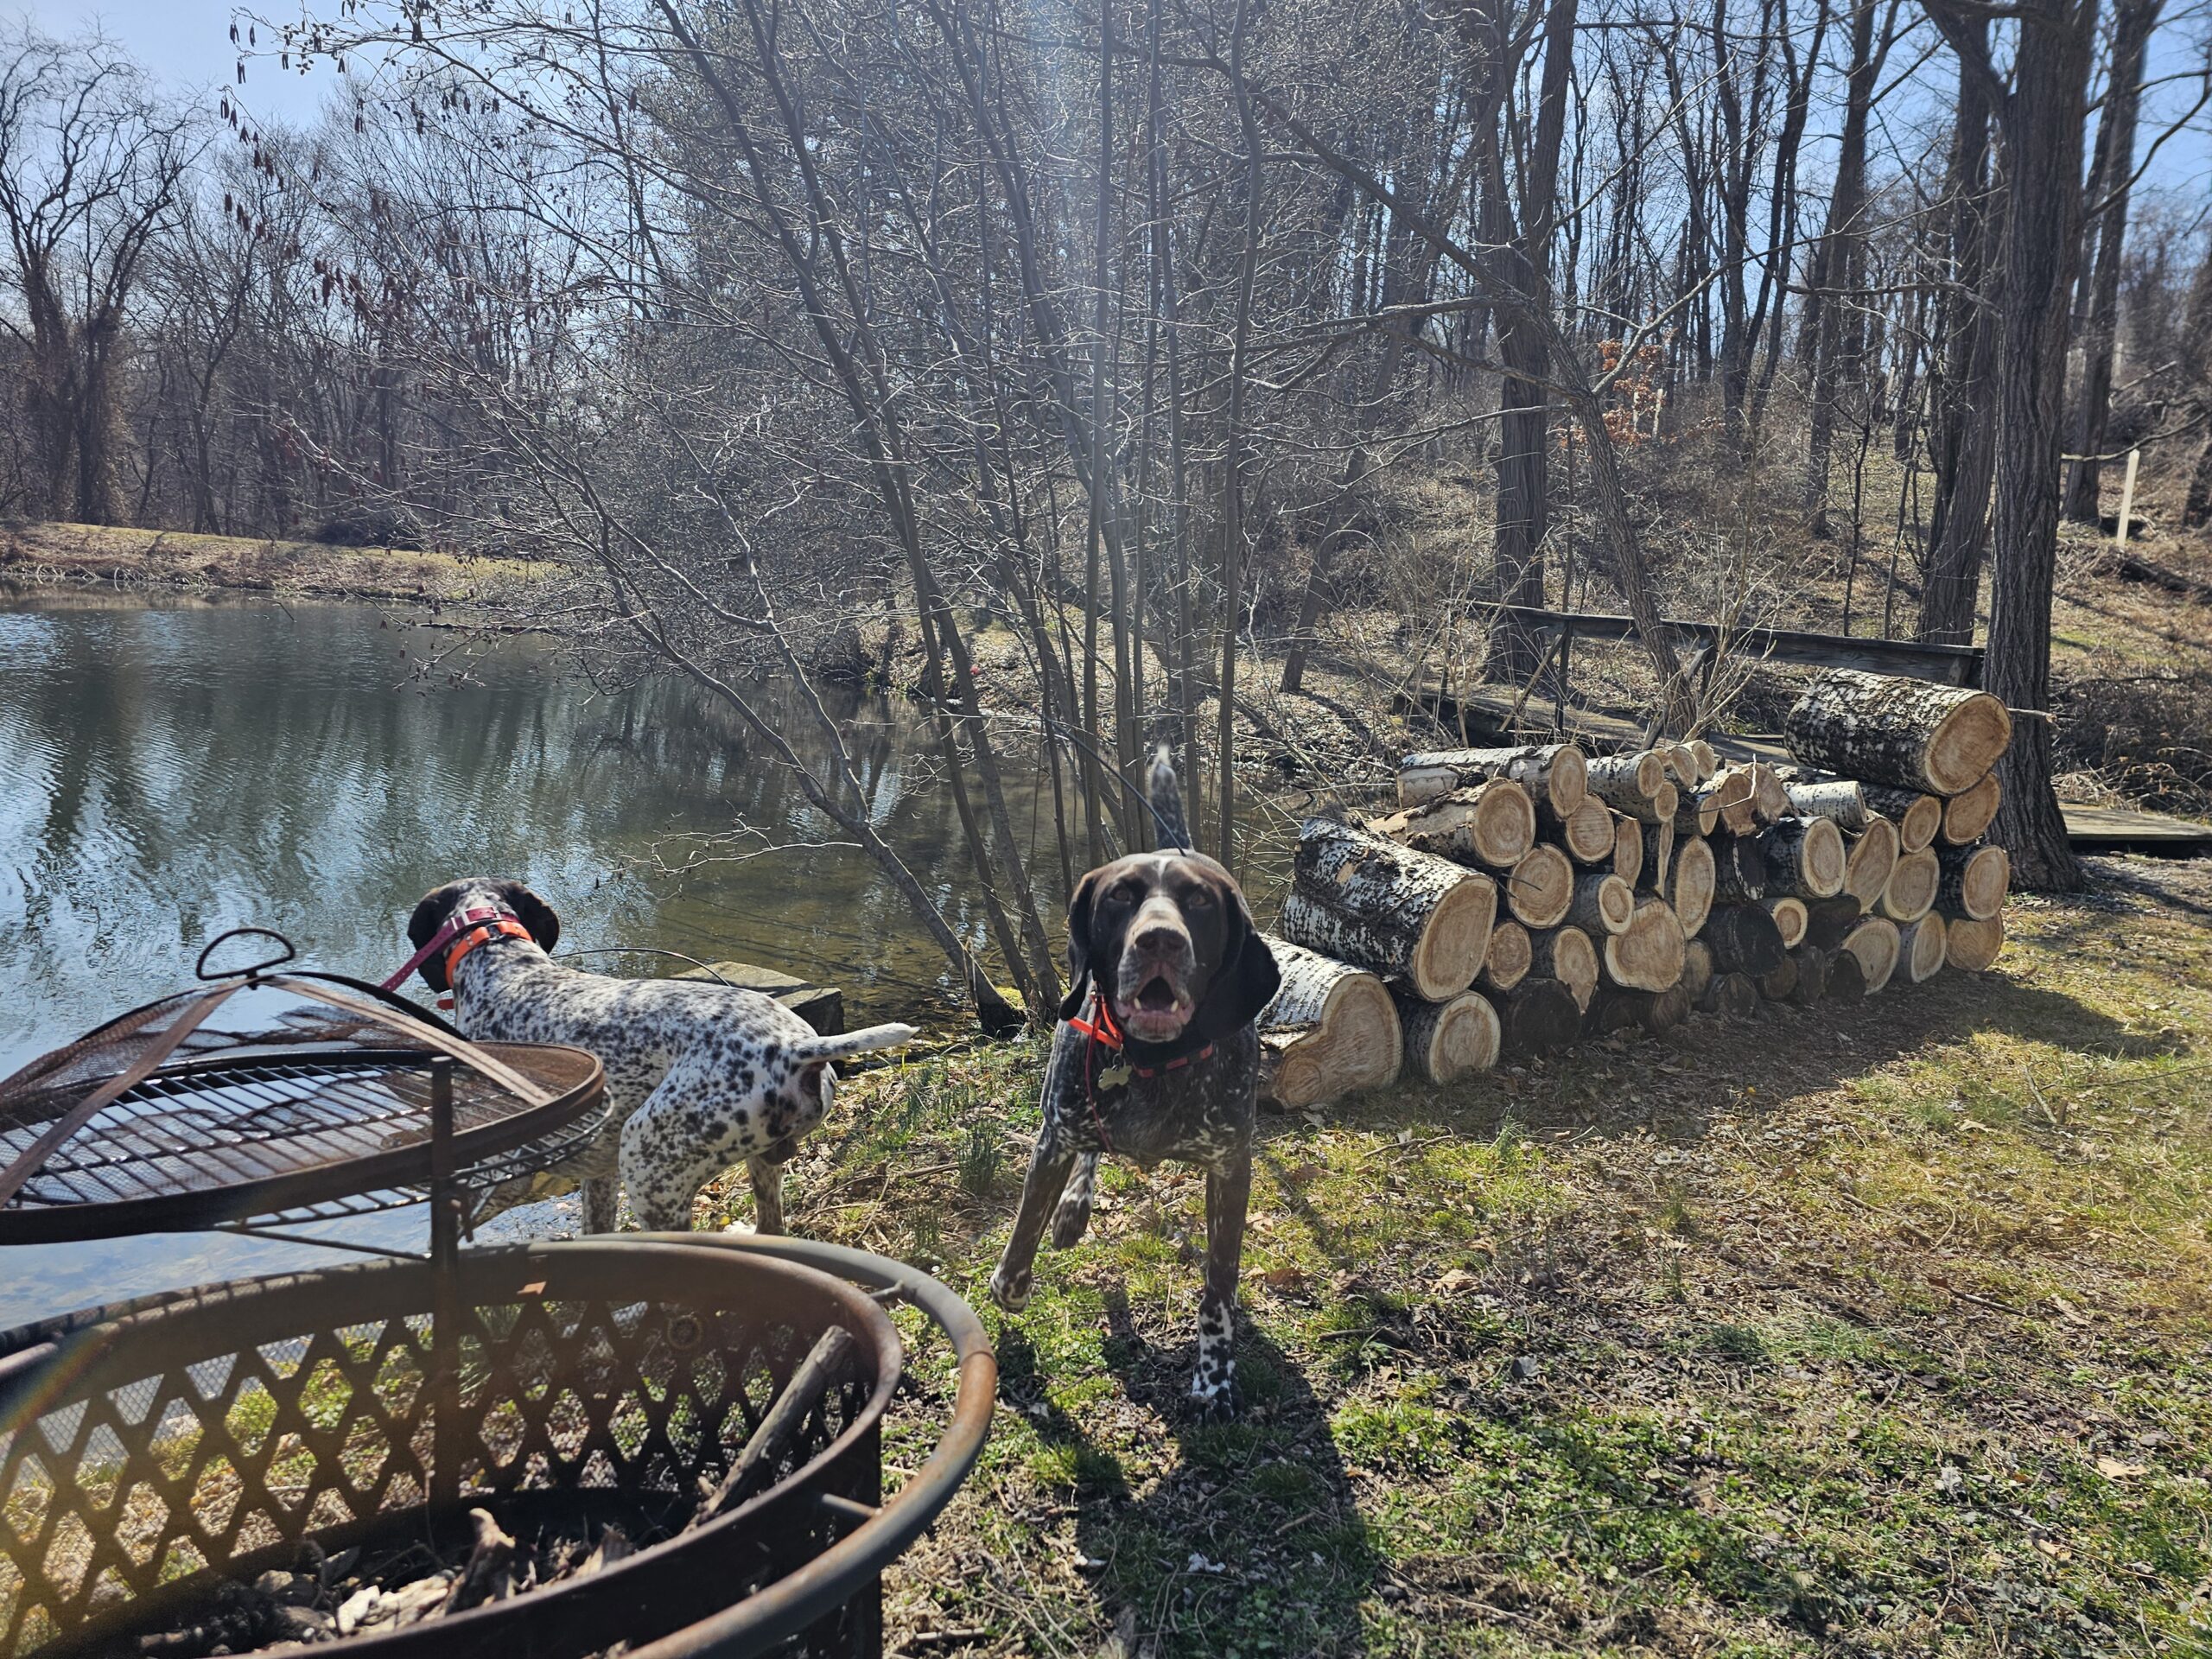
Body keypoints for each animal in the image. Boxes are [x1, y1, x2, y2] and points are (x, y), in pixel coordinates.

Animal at [402, 878, 917, 1234]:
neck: (503, 964)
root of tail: (796, 1049)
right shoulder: (598, 1174)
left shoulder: (500, 1178)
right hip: (756, 1166)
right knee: (772, 1228)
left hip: (647, 1163)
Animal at [988, 755, 1282, 1415]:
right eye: (1121, 895)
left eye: (1199, 902)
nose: (1160, 940)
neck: (1154, 1061)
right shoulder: (1054, 1136)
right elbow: (1019, 1246)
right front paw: (1013, 1281)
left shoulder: (1232, 1167)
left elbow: (1218, 1288)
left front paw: (1214, 1377)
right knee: (1089, 1155)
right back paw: (1074, 1210)